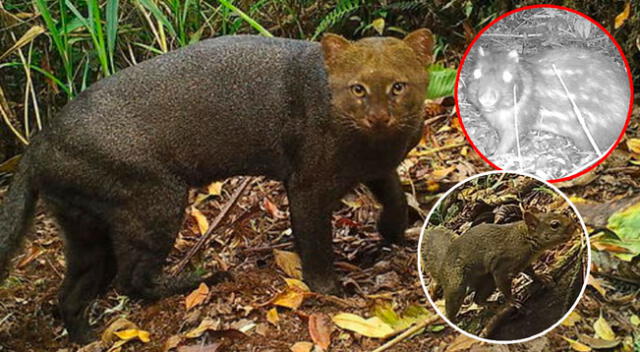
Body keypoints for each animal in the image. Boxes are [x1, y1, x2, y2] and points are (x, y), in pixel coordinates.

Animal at [0, 28, 432, 342]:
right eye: (358, 88)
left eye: (398, 86)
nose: (379, 116)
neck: (375, 145)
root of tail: (38, 142)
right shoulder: (308, 185)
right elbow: (314, 242)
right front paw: (331, 289)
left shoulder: (376, 168)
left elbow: (395, 197)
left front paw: (394, 233)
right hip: (155, 200)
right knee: (131, 278)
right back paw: (203, 278)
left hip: (87, 229)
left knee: (72, 293)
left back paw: (88, 337)